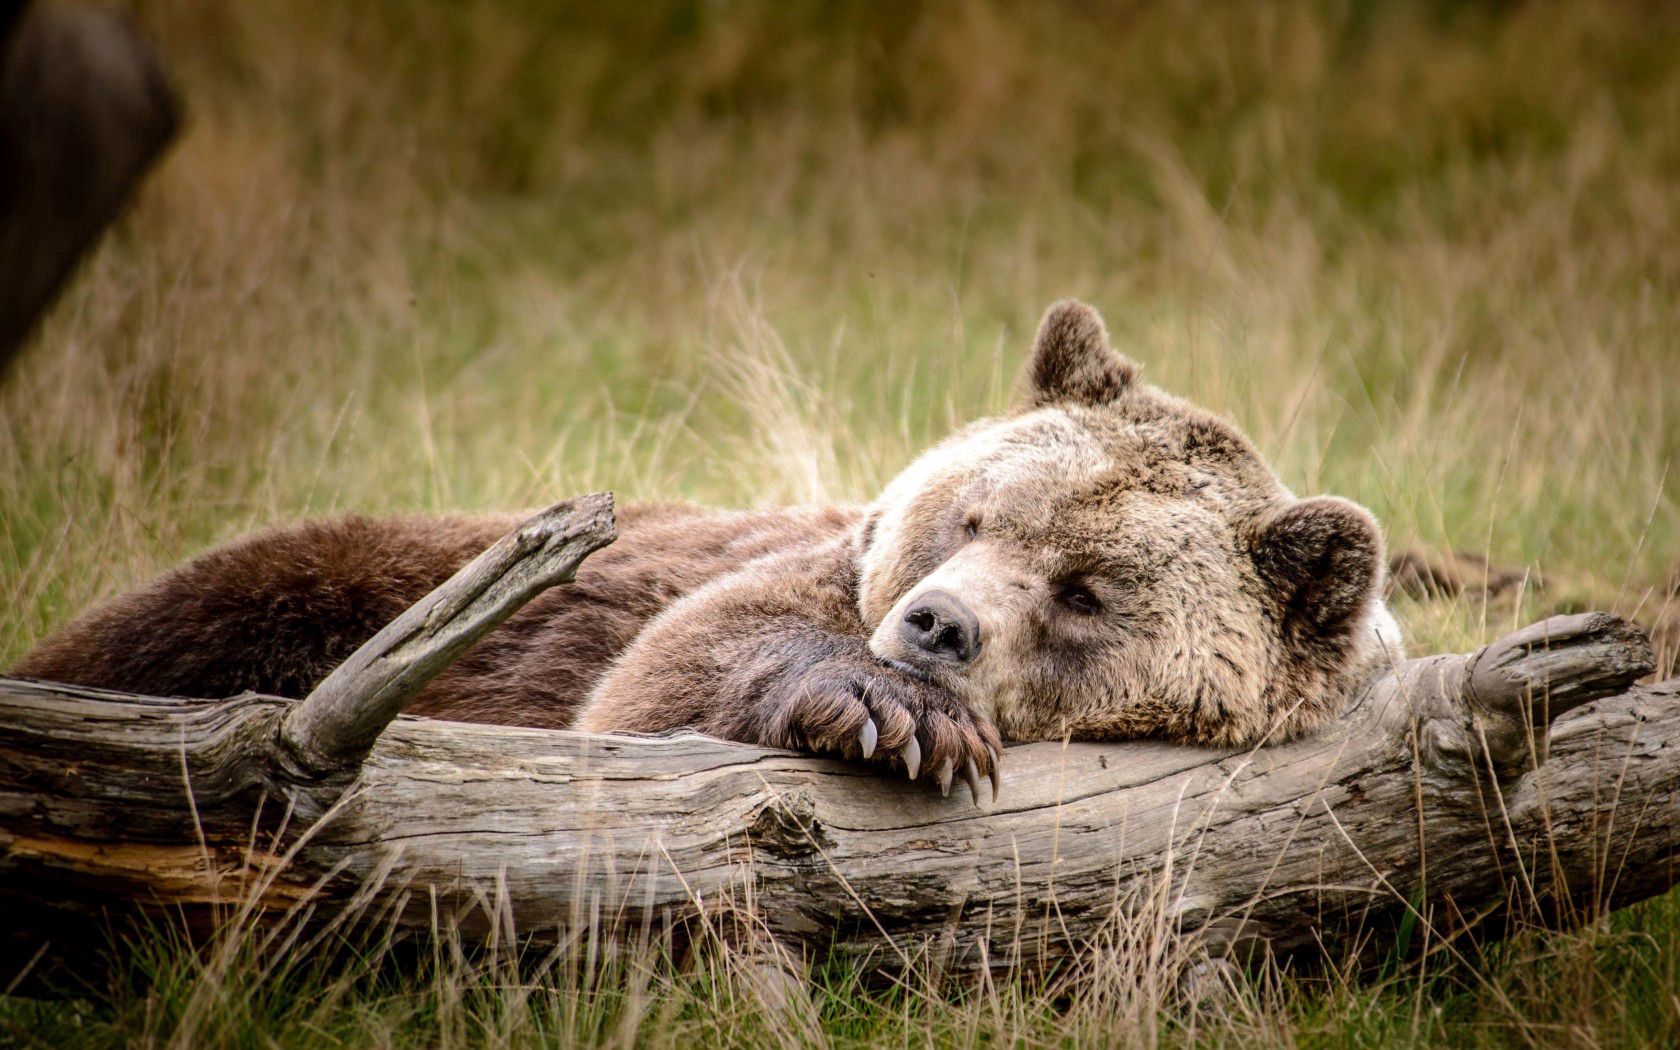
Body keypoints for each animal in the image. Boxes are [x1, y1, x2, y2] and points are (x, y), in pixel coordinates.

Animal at [16, 300, 1404, 792]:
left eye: (1088, 591)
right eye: (974, 515)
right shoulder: (772, 576)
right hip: (322, 580)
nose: (935, 626)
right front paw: (891, 715)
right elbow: (670, 672)